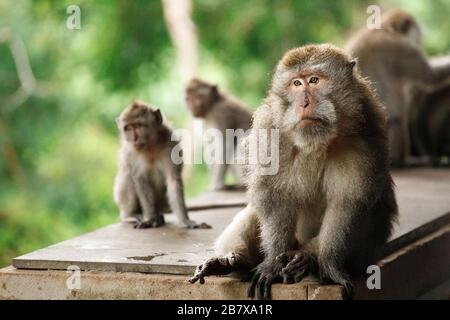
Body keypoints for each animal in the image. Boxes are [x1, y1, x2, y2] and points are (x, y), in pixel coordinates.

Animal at [112, 101, 211, 229]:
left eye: (138, 126)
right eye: (128, 128)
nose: (134, 139)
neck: (150, 148)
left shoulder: (171, 145)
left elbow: (173, 180)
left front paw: (185, 220)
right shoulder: (130, 154)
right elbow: (140, 180)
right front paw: (150, 219)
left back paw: (158, 216)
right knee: (128, 175)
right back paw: (132, 215)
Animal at [189, 45, 398, 300]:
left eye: (314, 80)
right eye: (296, 84)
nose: (304, 103)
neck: (317, 142)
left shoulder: (367, 133)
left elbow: (347, 203)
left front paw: (327, 263)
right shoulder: (270, 129)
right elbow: (272, 195)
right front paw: (272, 263)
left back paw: (306, 259)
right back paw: (233, 262)